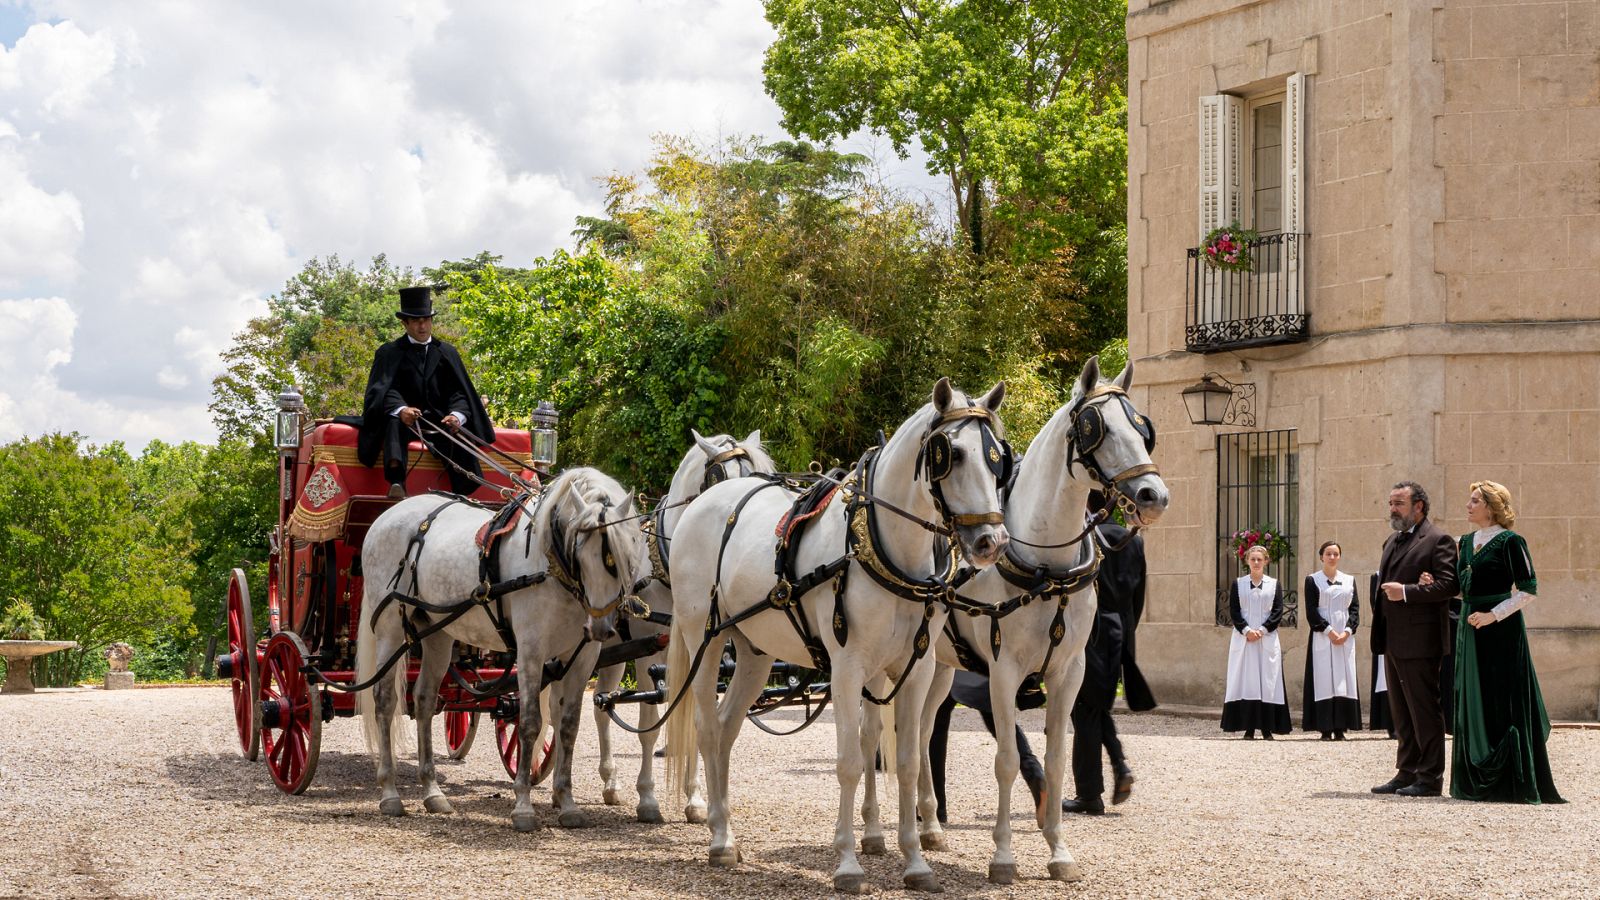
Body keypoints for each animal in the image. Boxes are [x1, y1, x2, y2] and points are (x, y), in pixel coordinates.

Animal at [356, 464, 643, 832]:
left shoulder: (581, 658)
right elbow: (530, 722)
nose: (602, 628)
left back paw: (432, 792)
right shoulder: (531, 651)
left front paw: (567, 803)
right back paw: (390, 792)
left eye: (623, 556)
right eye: (581, 550)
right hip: (391, 629)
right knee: (384, 700)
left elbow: (569, 726)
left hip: (437, 633)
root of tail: (387, 516)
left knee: (423, 701)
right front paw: (523, 806)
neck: (550, 567)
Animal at [595, 425, 780, 819]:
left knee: (602, 707)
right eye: (720, 478)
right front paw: (648, 798)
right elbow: (648, 727)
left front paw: (695, 799)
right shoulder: (649, 655)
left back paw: (609, 782)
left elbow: (695, 722)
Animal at [665, 377, 1011, 890]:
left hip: (754, 652)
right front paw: (848, 863)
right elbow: (849, 761)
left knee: (727, 729)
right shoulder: (847, 668)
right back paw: (720, 840)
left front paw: (915, 862)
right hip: (703, 642)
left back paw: (723, 825)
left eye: (996, 457)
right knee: (708, 730)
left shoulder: (916, 669)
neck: (880, 548)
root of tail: (704, 504)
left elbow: (907, 761)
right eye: (951, 454)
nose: (991, 542)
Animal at [921, 353, 1171, 877]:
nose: (1153, 496)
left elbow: (1056, 758)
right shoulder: (1002, 672)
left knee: (922, 729)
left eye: (1142, 428)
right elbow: (1007, 759)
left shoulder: (1068, 671)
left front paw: (1059, 850)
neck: (1045, 565)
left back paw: (929, 826)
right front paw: (1002, 856)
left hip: (940, 667)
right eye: (1099, 428)